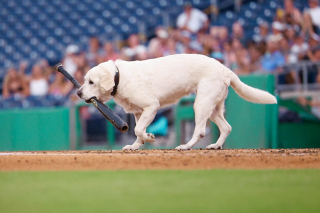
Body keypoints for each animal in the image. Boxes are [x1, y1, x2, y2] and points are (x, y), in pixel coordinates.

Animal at [77, 55, 278, 151]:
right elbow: (138, 132)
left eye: (91, 82)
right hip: (213, 107)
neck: (120, 76)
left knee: (200, 131)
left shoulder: (152, 107)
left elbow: (138, 130)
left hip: (201, 104)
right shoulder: (138, 113)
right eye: (85, 80)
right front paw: (136, 146)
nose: (78, 92)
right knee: (226, 127)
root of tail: (225, 69)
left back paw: (186, 146)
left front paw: (150, 137)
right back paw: (215, 145)